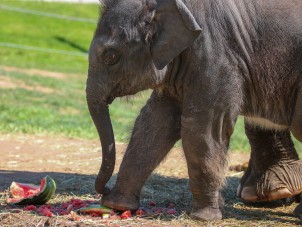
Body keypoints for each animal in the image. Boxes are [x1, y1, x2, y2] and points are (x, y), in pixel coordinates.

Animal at [85, 0, 302, 221]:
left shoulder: (215, 56)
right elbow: (153, 122)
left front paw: (203, 218)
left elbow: (202, 128)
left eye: (111, 56)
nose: (104, 190)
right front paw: (117, 205)